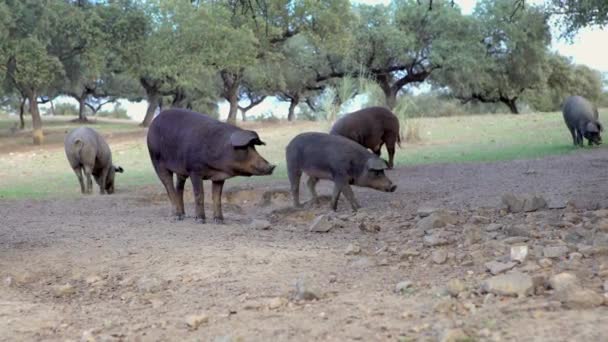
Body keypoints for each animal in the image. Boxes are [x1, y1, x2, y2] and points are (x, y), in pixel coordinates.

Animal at [147, 108, 276, 223]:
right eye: (245, 147)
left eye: (254, 147)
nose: (272, 166)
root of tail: (154, 121)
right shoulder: (194, 170)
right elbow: (199, 194)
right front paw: (200, 220)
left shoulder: (218, 177)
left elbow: (217, 197)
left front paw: (219, 221)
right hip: (156, 160)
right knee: (169, 187)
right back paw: (176, 217)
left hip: (180, 169)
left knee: (179, 188)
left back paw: (183, 215)